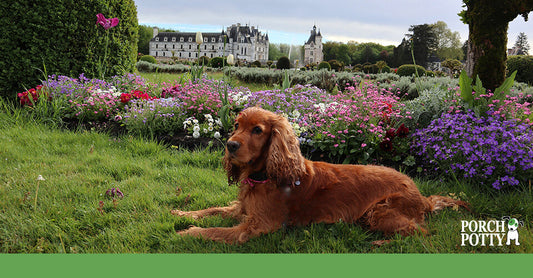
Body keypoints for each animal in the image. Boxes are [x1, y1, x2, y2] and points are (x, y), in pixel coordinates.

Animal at [171, 106, 466, 243]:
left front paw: (187, 232)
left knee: (420, 232)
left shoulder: (258, 225)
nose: (230, 145)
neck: (265, 174)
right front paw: (183, 214)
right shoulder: (243, 209)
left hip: (380, 212)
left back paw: (380, 242)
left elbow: (217, 230)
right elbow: (214, 209)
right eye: (235, 125)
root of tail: (422, 196)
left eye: (257, 130)